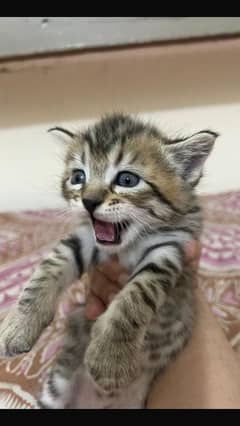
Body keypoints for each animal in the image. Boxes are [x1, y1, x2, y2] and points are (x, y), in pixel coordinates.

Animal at [0, 115, 218, 408]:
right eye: (78, 177)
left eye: (127, 179)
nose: (88, 201)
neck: (127, 244)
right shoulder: (82, 239)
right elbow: (47, 269)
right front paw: (18, 325)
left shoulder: (171, 246)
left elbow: (137, 295)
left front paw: (109, 356)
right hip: (57, 385)